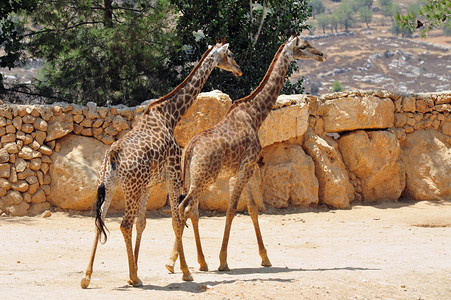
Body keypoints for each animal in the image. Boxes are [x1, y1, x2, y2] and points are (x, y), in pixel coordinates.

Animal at [81, 40, 244, 288]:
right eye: (230, 54)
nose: (239, 70)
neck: (170, 115)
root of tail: (113, 155)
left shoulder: (148, 185)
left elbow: (143, 223)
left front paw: (136, 267)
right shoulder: (173, 176)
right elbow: (176, 221)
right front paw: (185, 272)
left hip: (109, 186)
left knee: (99, 222)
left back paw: (88, 277)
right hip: (131, 188)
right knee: (124, 224)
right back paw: (133, 277)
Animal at [175, 34, 326, 272]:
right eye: (303, 46)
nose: (321, 55)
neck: (255, 114)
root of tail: (189, 150)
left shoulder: (243, 169)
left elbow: (253, 209)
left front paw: (265, 258)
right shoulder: (247, 165)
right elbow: (232, 209)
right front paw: (223, 261)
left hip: (191, 179)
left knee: (189, 210)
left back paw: (193, 262)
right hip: (203, 179)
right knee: (185, 208)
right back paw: (185, 268)